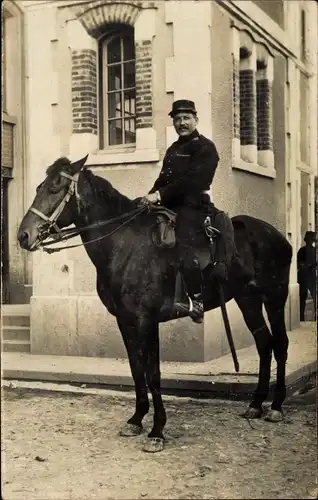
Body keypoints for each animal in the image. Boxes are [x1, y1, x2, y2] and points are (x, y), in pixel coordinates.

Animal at [16, 155, 290, 454]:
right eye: (39, 187)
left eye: (55, 188)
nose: (23, 236)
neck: (123, 246)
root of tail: (277, 234)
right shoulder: (124, 321)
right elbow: (137, 369)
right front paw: (136, 420)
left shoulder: (147, 320)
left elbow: (153, 374)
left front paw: (157, 431)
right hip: (247, 300)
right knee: (264, 344)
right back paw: (256, 404)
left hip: (274, 298)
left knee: (280, 344)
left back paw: (276, 407)